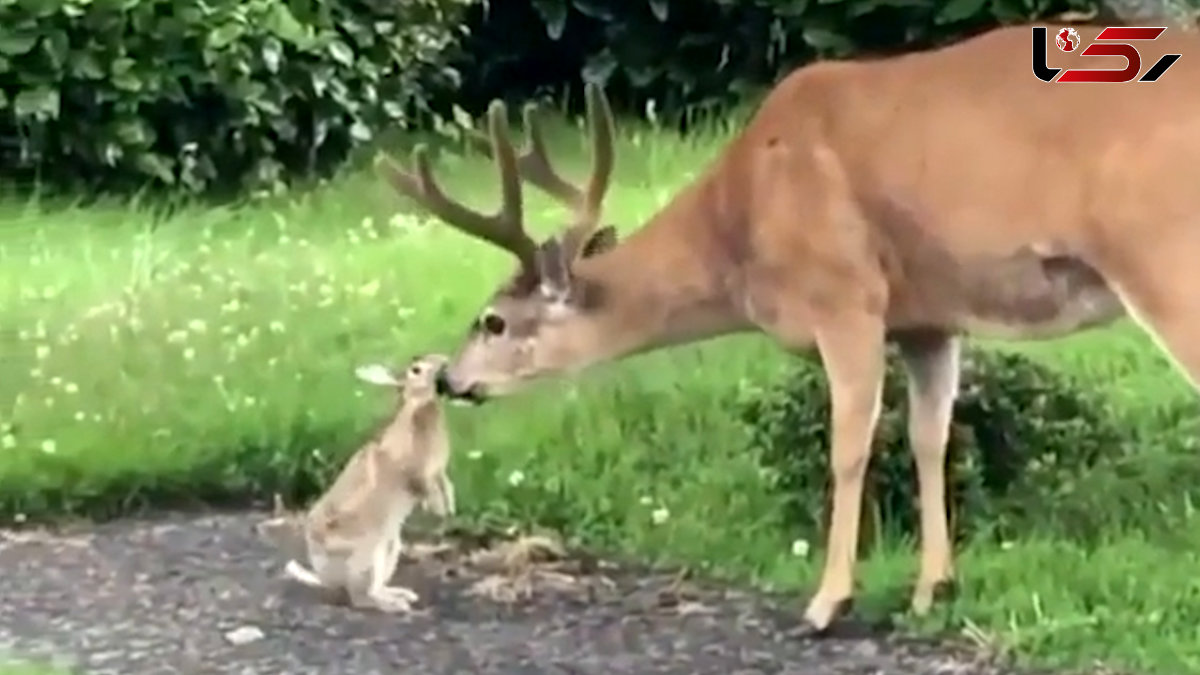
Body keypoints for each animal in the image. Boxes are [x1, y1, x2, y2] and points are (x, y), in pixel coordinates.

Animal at [255, 355, 451, 612]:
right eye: (416, 370)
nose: (445, 361)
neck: (418, 406)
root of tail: (325, 578)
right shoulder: (415, 471)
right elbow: (424, 486)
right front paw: (439, 510)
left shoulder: (438, 472)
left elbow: (444, 484)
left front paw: (449, 507)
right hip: (365, 556)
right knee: (360, 598)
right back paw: (395, 605)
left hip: (390, 550)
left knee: (375, 587)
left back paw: (402, 595)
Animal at [379, 22, 1200, 629]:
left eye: (492, 321)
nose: (449, 379)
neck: (740, 225)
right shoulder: (927, 318)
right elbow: (930, 438)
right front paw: (934, 587)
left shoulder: (845, 296)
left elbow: (849, 448)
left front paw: (827, 601)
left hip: (1165, 255)